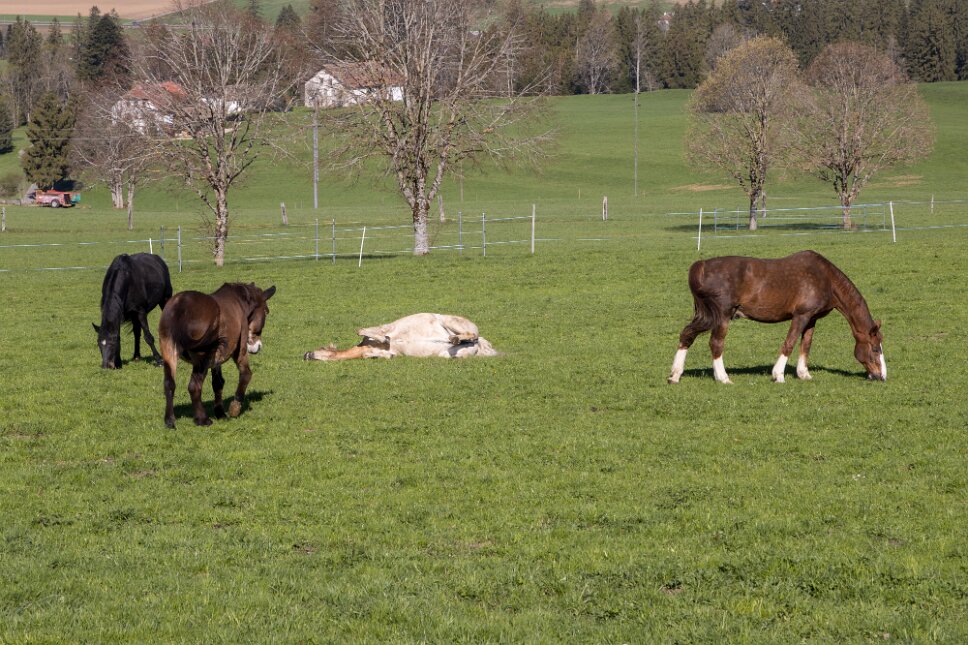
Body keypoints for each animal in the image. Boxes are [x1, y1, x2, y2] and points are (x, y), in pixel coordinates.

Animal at [159, 283, 276, 428]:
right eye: (266, 311)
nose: (258, 346)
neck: (239, 301)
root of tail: (180, 305)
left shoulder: (216, 359)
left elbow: (218, 383)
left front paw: (220, 413)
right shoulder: (239, 350)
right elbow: (246, 374)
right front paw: (235, 408)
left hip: (169, 352)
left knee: (169, 384)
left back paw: (169, 420)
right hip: (201, 359)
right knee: (194, 386)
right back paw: (202, 419)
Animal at [668, 251, 886, 384]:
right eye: (875, 349)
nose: (881, 376)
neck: (825, 278)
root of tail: (702, 265)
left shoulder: (811, 319)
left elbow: (806, 345)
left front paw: (804, 374)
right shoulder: (800, 316)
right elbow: (789, 343)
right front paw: (778, 375)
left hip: (707, 316)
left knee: (687, 335)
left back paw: (675, 375)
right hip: (722, 316)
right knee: (716, 344)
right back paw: (723, 377)